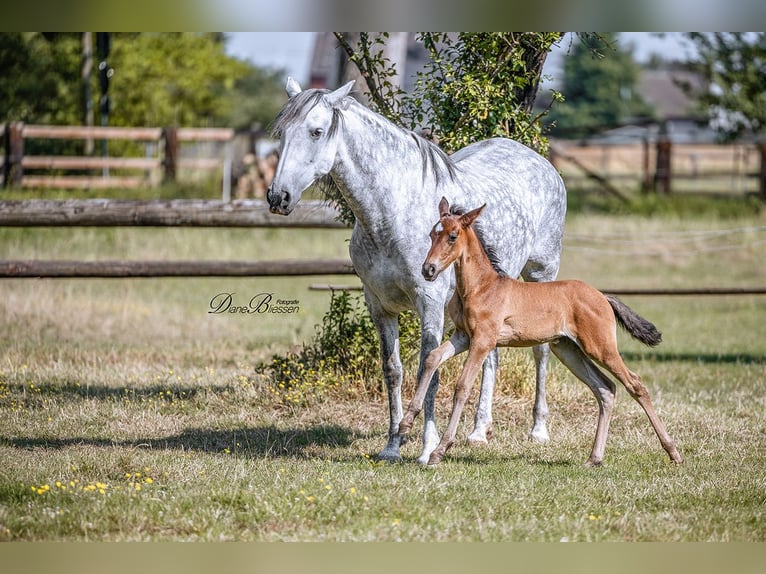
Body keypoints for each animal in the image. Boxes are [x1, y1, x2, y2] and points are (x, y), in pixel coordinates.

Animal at [402, 198, 684, 468]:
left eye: (452, 236)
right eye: (432, 234)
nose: (428, 270)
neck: (481, 287)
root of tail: (602, 296)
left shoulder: (483, 341)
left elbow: (462, 386)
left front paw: (439, 451)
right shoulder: (463, 336)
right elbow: (432, 358)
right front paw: (405, 422)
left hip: (600, 347)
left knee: (635, 384)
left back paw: (673, 452)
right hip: (568, 349)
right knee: (605, 389)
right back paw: (594, 459)